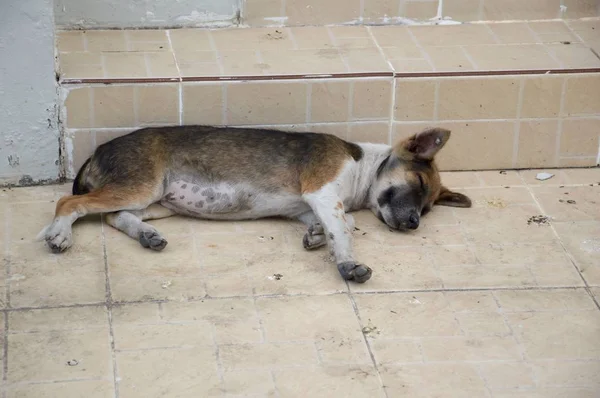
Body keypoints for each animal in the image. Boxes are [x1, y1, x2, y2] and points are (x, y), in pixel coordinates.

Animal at [37, 125, 472, 282]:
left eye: (429, 208)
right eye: (417, 182)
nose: (414, 223)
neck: (362, 166)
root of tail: (97, 151)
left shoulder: (307, 204)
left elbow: (337, 225)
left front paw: (316, 236)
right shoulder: (321, 191)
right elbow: (345, 229)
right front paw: (348, 262)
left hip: (159, 200)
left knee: (115, 216)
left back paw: (148, 235)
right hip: (141, 186)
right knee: (68, 202)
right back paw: (59, 235)